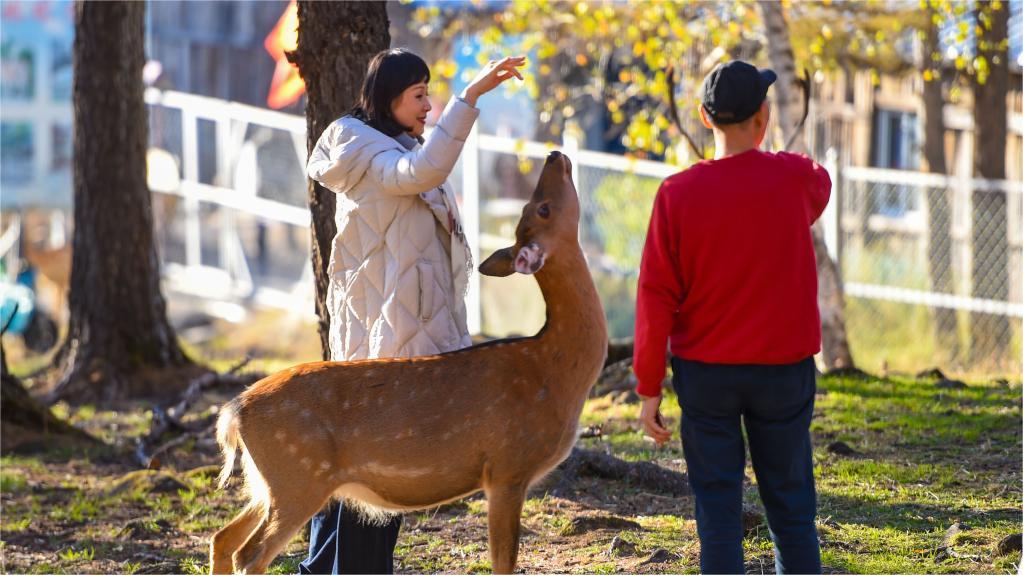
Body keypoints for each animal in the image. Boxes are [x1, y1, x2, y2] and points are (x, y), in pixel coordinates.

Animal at [209, 150, 605, 568]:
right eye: (542, 208)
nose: (555, 155)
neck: (554, 370)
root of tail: (234, 411)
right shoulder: (507, 466)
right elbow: (503, 560)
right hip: (297, 476)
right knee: (249, 554)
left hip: (269, 482)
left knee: (223, 537)